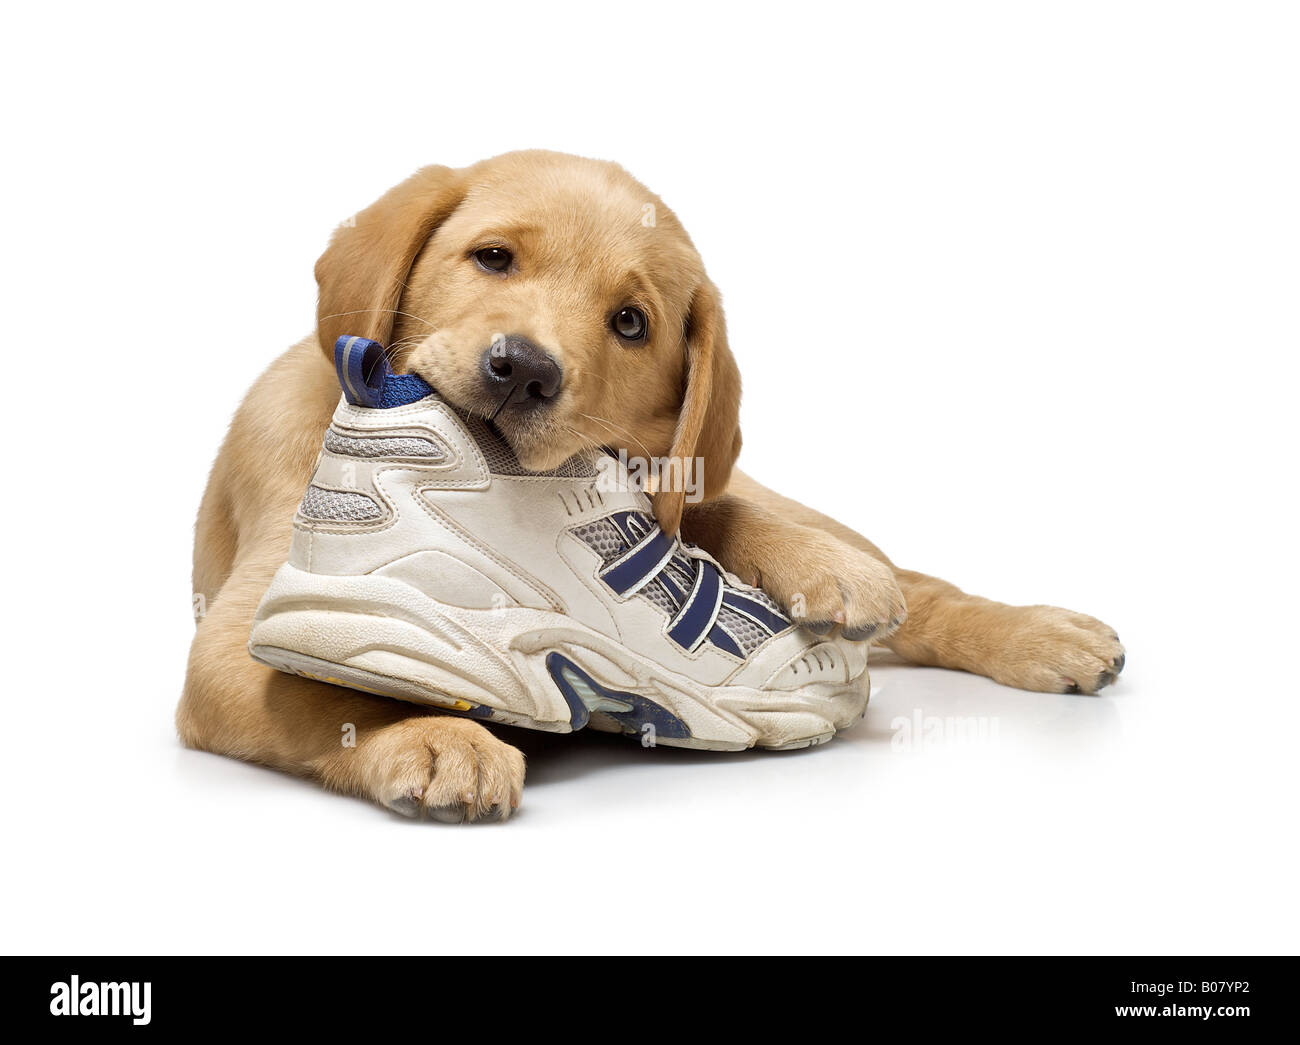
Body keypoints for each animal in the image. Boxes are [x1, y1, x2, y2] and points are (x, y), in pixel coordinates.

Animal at [175, 153, 1128, 826]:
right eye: (492, 258)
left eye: (629, 322)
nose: (523, 368)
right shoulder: (231, 641)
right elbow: (326, 686)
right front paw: (432, 730)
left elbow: (713, 511)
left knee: (910, 585)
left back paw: (1032, 631)